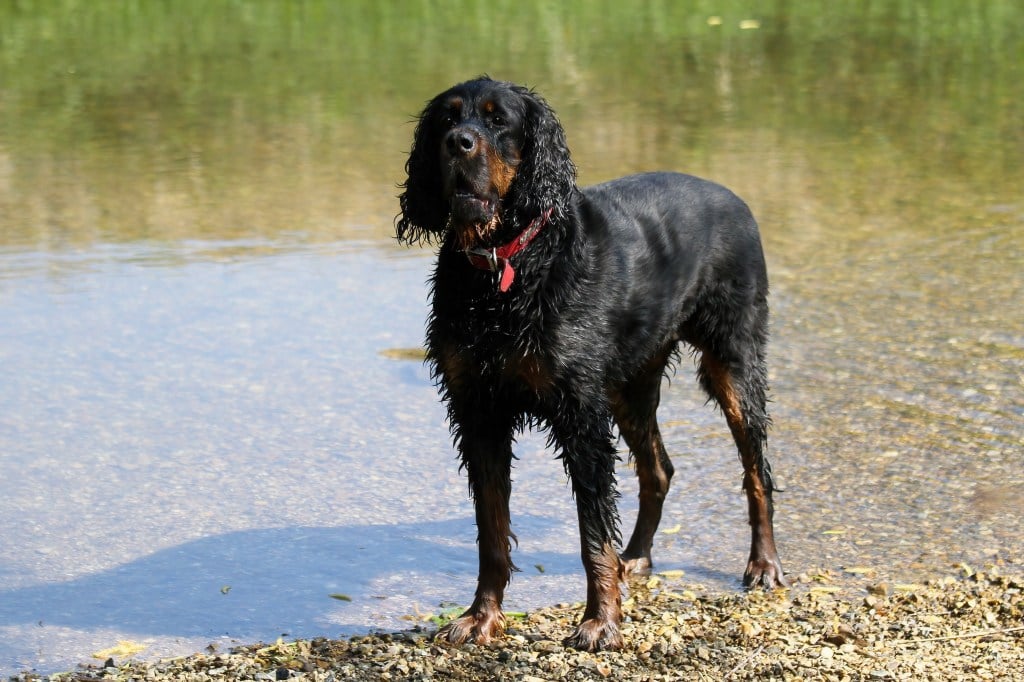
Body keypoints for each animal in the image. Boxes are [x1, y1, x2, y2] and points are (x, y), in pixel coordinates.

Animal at [395, 76, 786, 651]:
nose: (457, 144)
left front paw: (601, 621)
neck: (504, 269)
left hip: (733, 364)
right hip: (629, 384)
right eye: (447, 118)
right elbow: (491, 531)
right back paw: (638, 557)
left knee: (757, 472)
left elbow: (592, 534)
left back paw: (763, 564)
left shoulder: (580, 415)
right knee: (658, 469)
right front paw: (481, 616)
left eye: (497, 119)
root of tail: (734, 197)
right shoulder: (479, 412)